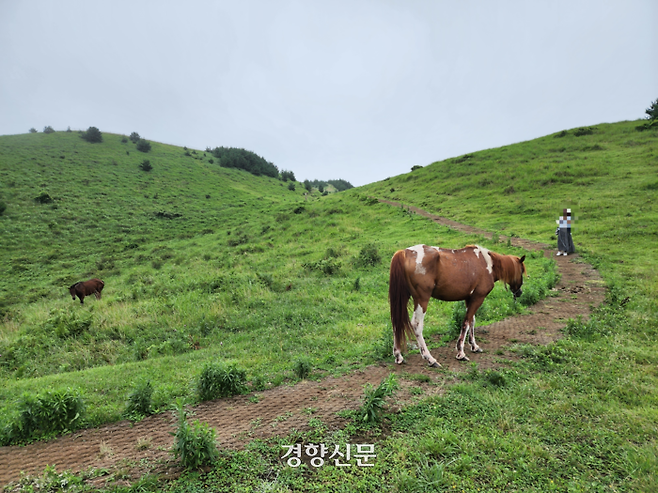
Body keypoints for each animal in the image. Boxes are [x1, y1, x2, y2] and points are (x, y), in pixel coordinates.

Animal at [390, 245, 524, 366]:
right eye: (522, 271)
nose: (519, 293)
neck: (488, 264)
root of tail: (405, 252)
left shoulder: (469, 299)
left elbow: (472, 321)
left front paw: (474, 346)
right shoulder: (478, 298)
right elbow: (466, 322)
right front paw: (461, 352)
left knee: (397, 323)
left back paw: (398, 355)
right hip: (422, 300)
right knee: (417, 325)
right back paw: (430, 358)